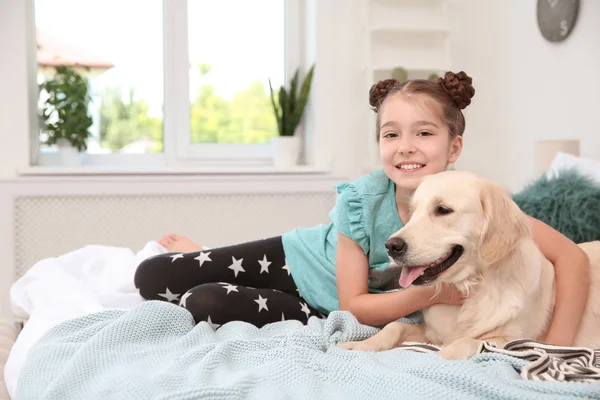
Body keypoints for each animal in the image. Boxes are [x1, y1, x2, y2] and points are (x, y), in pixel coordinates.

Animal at [338, 170, 600, 360]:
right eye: (412, 211)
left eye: (443, 210)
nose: (391, 246)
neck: (472, 288)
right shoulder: (432, 333)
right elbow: (394, 326)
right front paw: (359, 346)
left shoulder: (511, 341)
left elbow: (462, 343)